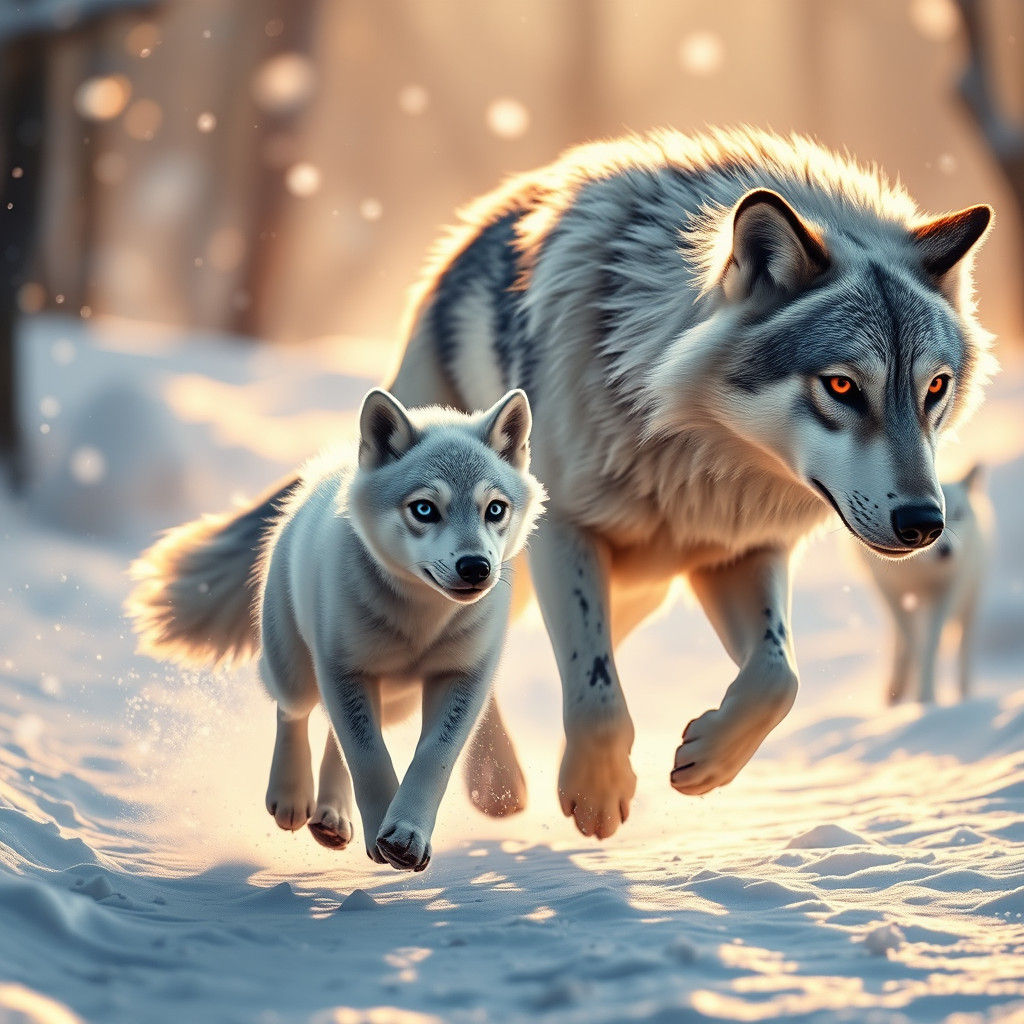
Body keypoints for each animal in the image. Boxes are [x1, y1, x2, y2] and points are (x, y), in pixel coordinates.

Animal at [128, 388, 545, 871]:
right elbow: (368, 756)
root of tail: (330, 470)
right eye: (424, 509)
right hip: (295, 667)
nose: (476, 567)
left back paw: (331, 814)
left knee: (334, 733)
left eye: (495, 509)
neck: (420, 622)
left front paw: (405, 834)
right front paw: (381, 830)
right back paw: (292, 797)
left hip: (393, 698)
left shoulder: (463, 677)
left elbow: (431, 758)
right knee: (294, 712)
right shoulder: (342, 668)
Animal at [857, 465, 991, 704]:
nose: (946, 552)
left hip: (968, 606)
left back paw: (965, 698)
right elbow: (914, 643)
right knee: (901, 642)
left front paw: (926, 699)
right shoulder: (890, 592)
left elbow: (930, 646)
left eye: (958, 514)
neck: (917, 570)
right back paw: (895, 691)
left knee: (963, 654)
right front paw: (920, 698)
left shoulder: (944, 593)